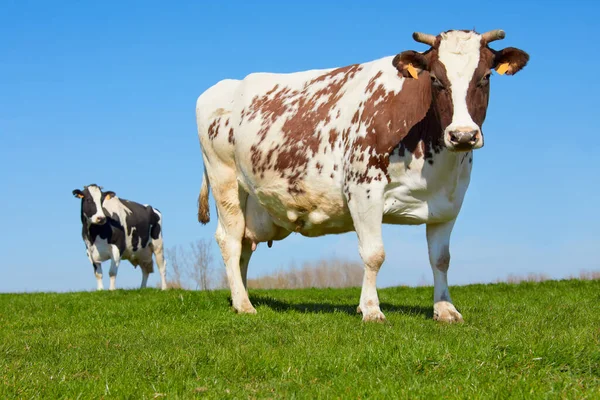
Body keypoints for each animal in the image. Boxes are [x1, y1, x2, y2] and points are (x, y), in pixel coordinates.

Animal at [195, 28, 528, 322]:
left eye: (485, 77)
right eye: (435, 79)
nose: (463, 135)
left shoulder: (449, 202)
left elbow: (441, 259)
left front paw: (445, 310)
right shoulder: (363, 190)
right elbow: (374, 254)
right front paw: (370, 309)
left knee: (244, 245)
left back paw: (240, 296)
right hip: (224, 180)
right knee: (230, 240)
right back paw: (244, 304)